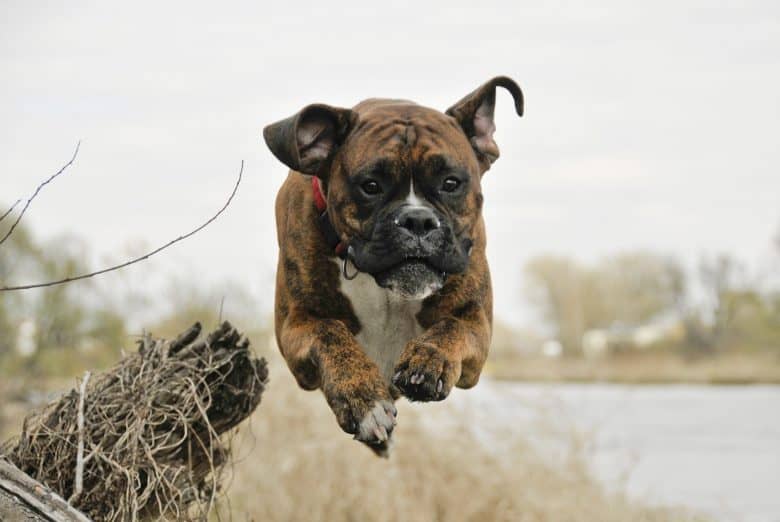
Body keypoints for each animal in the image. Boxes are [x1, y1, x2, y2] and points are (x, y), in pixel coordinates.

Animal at [262, 76, 524, 456]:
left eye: (451, 183)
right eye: (370, 186)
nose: (417, 220)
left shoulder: (476, 323)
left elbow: (451, 327)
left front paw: (429, 360)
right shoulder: (296, 327)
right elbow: (329, 332)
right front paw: (363, 400)